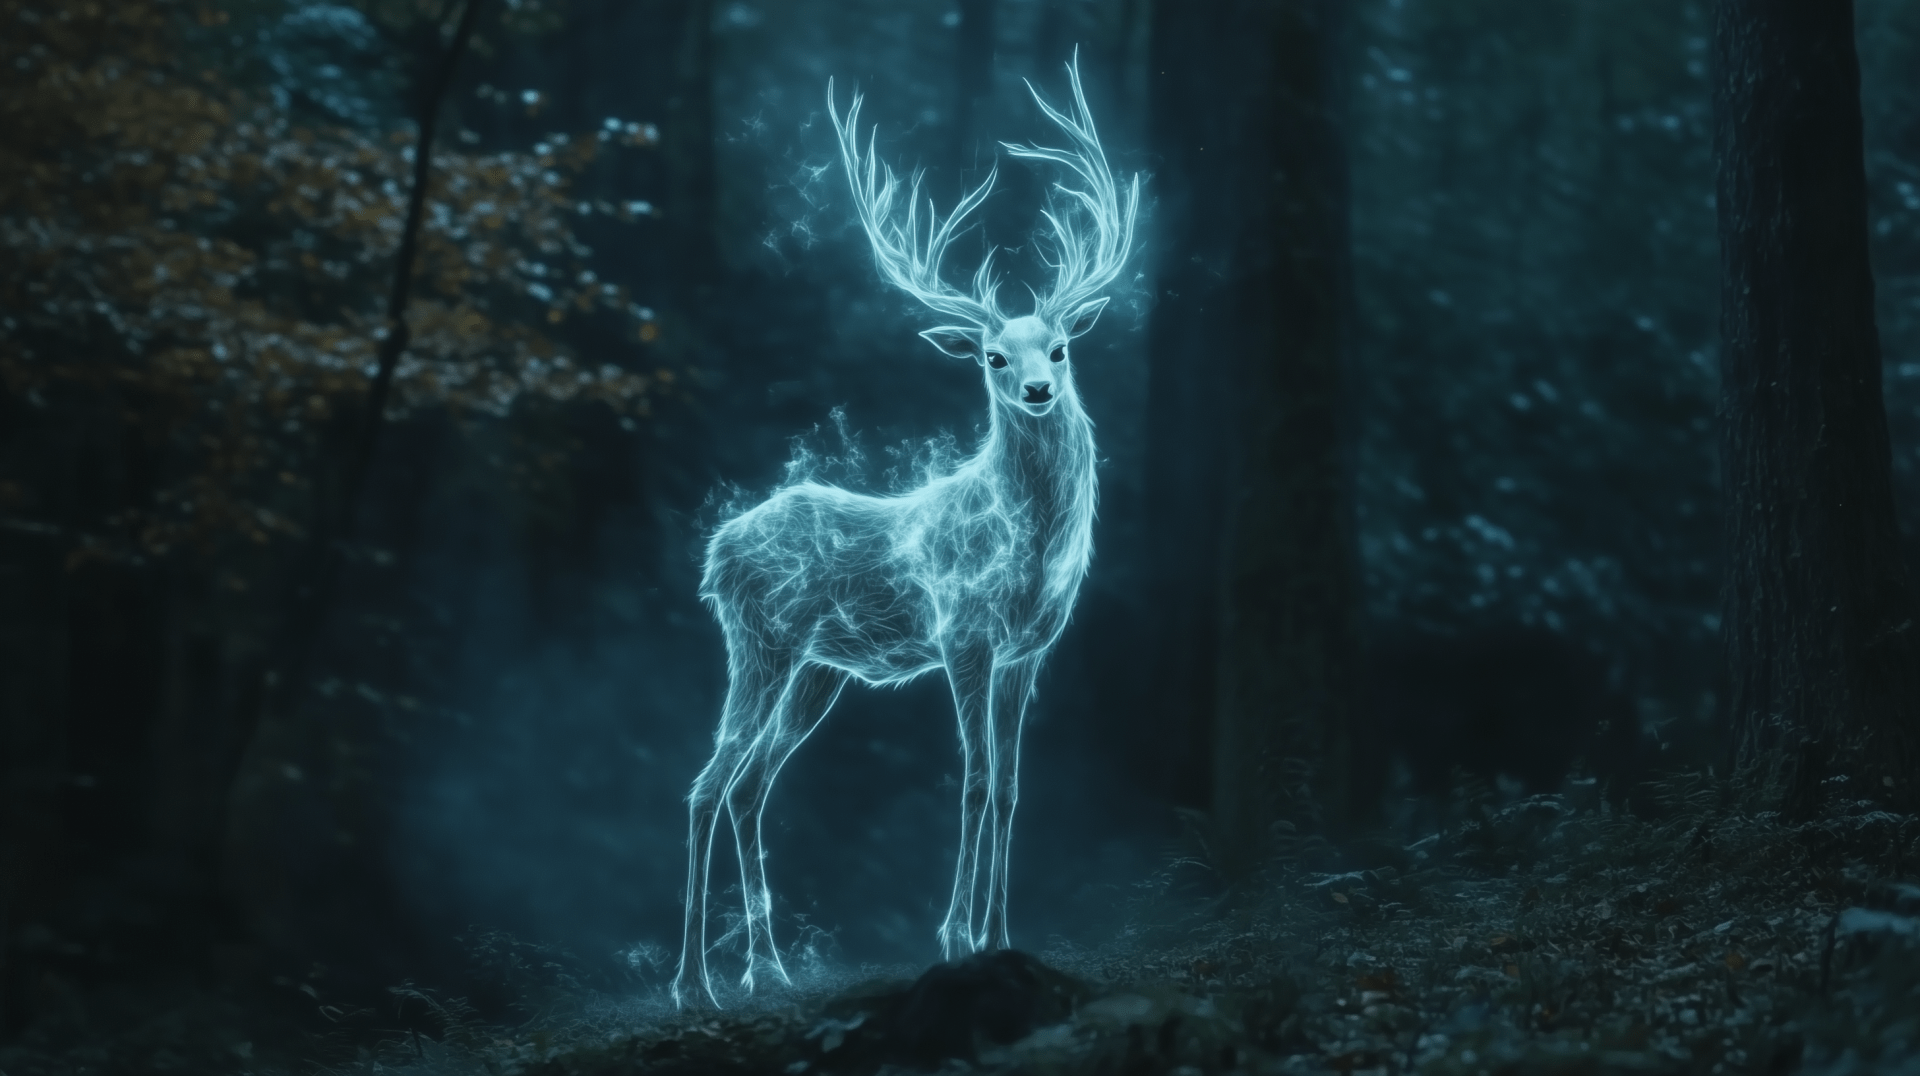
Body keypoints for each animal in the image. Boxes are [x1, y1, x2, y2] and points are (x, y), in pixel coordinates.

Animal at [672, 55, 1138, 1008]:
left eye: (1060, 347)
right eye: (994, 356)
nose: (1037, 390)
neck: (1026, 556)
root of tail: (715, 550)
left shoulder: (1030, 650)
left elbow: (1013, 787)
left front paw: (1004, 932)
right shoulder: (964, 633)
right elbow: (974, 780)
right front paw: (956, 937)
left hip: (816, 672)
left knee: (749, 786)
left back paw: (767, 969)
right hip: (759, 643)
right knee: (706, 784)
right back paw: (694, 984)